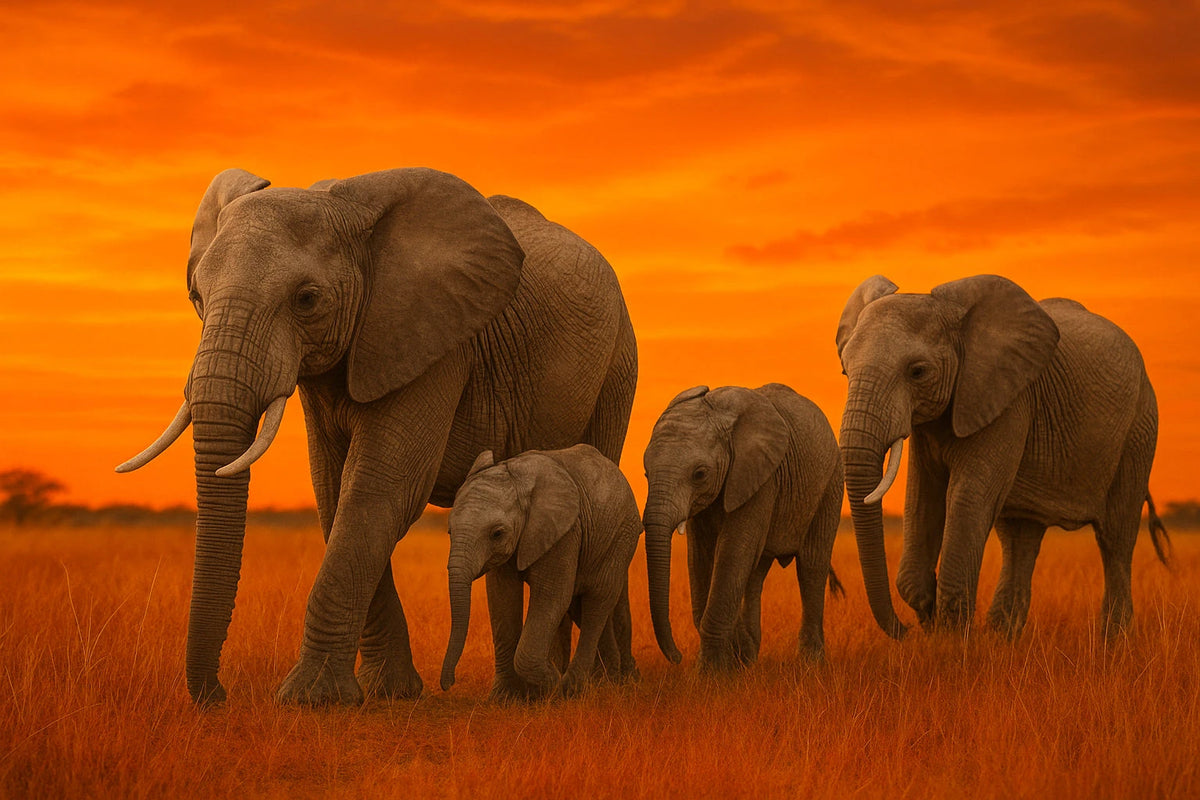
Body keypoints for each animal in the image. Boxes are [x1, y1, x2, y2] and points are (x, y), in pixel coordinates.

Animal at [440, 445, 642, 700]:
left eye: (497, 533)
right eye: (449, 531)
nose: (448, 684)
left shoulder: (566, 531)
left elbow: (552, 597)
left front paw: (550, 685)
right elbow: (502, 598)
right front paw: (503, 698)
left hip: (621, 536)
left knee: (598, 601)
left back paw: (573, 687)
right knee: (583, 606)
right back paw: (607, 680)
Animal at [643, 383, 845, 672]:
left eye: (699, 474)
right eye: (646, 473)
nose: (677, 657)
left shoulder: (761, 478)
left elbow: (732, 552)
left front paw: (711, 673)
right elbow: (700, 557)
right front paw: (730, 662)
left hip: (830, 483)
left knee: (811, 565)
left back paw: (810, 664)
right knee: (755, 573)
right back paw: (749, 656)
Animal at [836, 273, 1170, 641]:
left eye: (918, 371)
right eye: (845, 371)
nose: (906, 630)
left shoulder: (1009, 401)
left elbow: (967, 497)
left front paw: (952, 640)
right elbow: (923, 499)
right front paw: (933, 623)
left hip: (1139, 429)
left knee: (1115, 539)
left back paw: (1114, 642)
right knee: (1019, 538)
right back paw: (1002, 639)